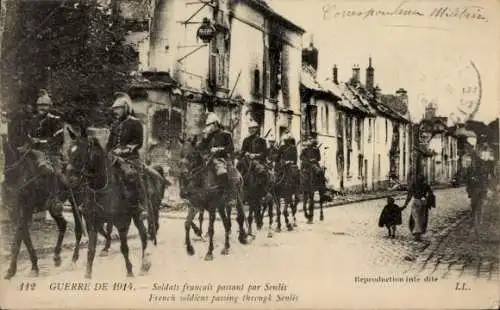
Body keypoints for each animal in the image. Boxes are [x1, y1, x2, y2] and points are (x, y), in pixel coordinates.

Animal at [3, 139, 83, 280]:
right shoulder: (14, 212)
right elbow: (25, 238)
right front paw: (34, 266)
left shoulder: (26, 209)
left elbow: (18, 239)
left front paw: (11, 270)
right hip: (53, 206)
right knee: (62, 224)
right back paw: (57, 257)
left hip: (76, 200)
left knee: (78, 228)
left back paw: (74, 259)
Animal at [64, 128, 162, 278]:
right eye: (68, 152)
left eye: (81, 153)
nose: (70, 180)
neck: (100, 186)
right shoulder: (91, 220)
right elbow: (91, 249)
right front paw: (88, 274)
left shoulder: (121, 221)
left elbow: (124, 247)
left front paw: (129, 271)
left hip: (138, 213)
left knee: (144, 233)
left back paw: (144, 264)